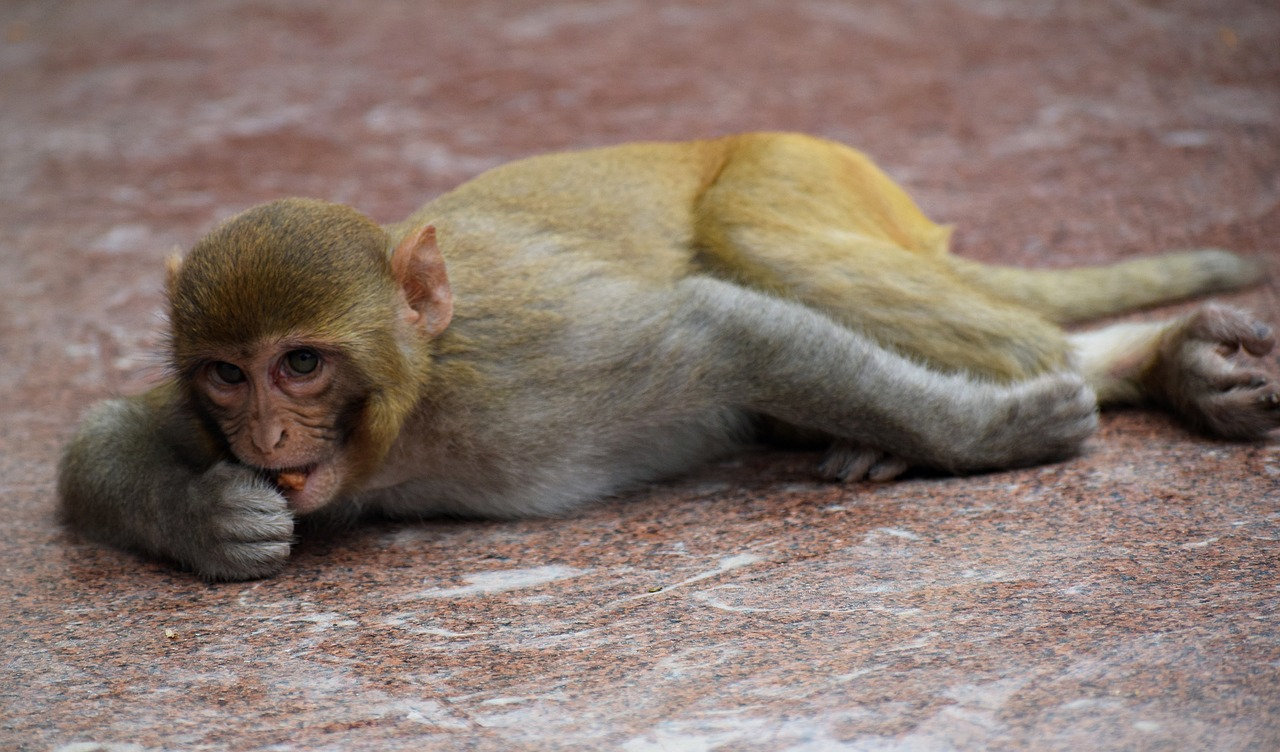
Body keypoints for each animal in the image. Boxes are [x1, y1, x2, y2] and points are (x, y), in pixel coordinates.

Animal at [57, 132, 1278, 580]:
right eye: (228, 373)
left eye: (302, 364)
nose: (264, 433)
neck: (410, 415)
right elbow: (99, 438)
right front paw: (213, 522)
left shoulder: (520, 365)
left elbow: (716, 326)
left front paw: (997, 434)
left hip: (802, 171)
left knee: (749, 236)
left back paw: (1133, 364)